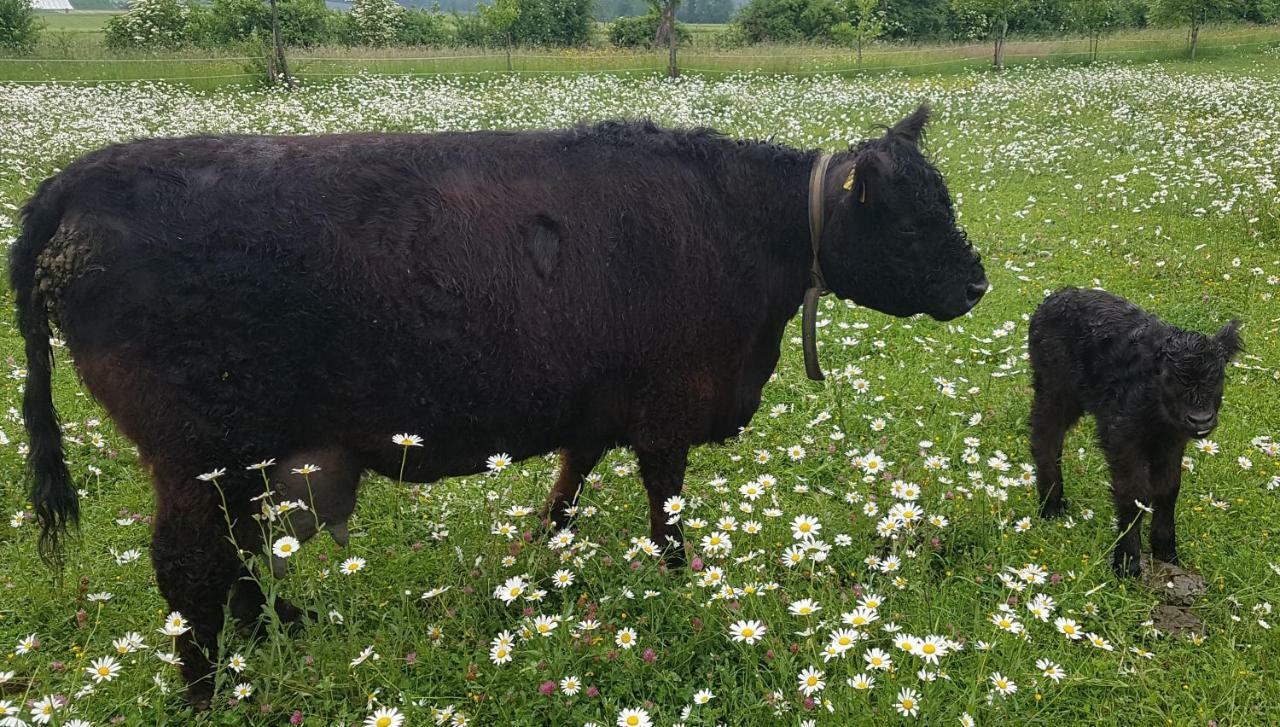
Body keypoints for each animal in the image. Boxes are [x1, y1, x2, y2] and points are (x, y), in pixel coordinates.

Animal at [12, 108, 988, 706]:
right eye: (913, 219)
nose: (977, 284)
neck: (734, 225)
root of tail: (84, 176)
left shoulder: (597, 407)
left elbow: (565, 491)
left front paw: (536, 567)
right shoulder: (667, 412)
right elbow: (666, 511)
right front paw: (685, 584)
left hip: (236, 459)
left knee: (237, 556)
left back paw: (286, 632)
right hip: (198, 450)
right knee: (190, 569)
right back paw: (211, 690)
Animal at [1029, 286, 1239, 575]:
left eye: (1219, 376)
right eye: (1169, 377)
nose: (1201, 420)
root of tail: (1057, 295)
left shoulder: (1172, 442)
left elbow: (1168, 489)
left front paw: (1166, 552)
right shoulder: (1121, 436)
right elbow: (1133, 494)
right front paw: (1127, 563)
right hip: (1055, 388)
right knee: (1045, 436)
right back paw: (1050, 507)